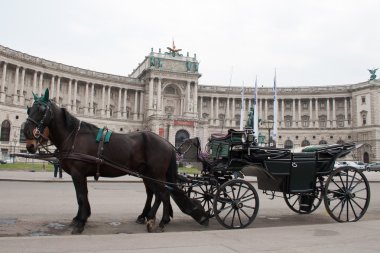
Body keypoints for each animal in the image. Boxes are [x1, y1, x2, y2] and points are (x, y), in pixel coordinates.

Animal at [23, 88, 208, 233]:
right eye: (28, 109)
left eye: (42, 109)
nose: (29, 140)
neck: (74, 136)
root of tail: (168, 143)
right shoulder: (80, 174)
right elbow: (82, 196)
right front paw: (80, 218)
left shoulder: (78, 173)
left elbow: (81, 196)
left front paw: (80, 222)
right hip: (148, 174)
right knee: (157, 193)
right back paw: (151, 218)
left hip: (156, 173)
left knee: (162, 193)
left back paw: (157, 221)